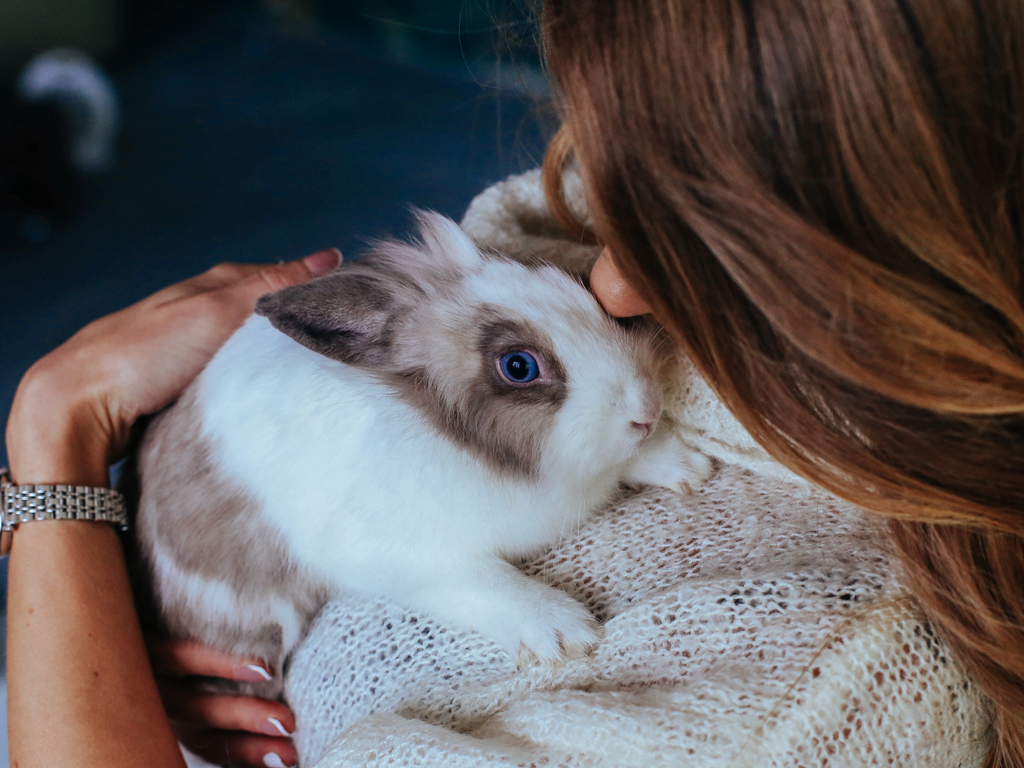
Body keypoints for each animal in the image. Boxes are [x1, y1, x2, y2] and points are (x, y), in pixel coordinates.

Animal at [134, 210, 712, 692]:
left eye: (577, 286)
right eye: (518, 366)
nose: (647, 409)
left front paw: (685, 464)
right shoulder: (402, 557)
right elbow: (485, 582)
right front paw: (563, 633)